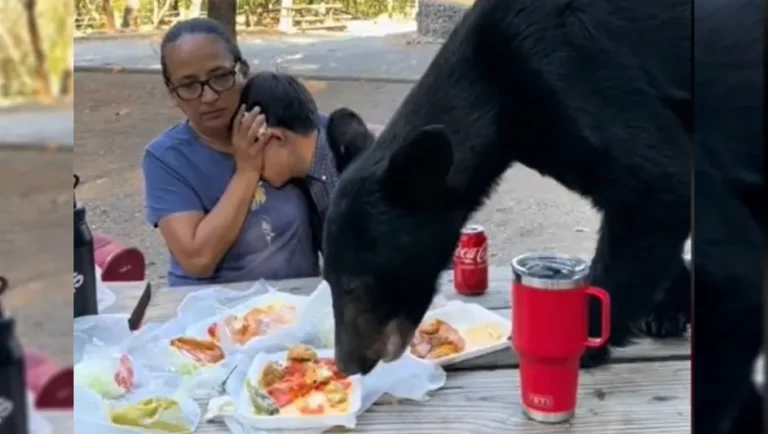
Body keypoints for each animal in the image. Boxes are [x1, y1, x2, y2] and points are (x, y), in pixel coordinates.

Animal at [320, 0, 760, 430]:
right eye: (329, 278)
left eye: (356, 284)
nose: (348, 363)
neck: (496, 87)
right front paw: (669, 305)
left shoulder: (578, 73)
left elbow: (662, 189)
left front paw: (584, 343)